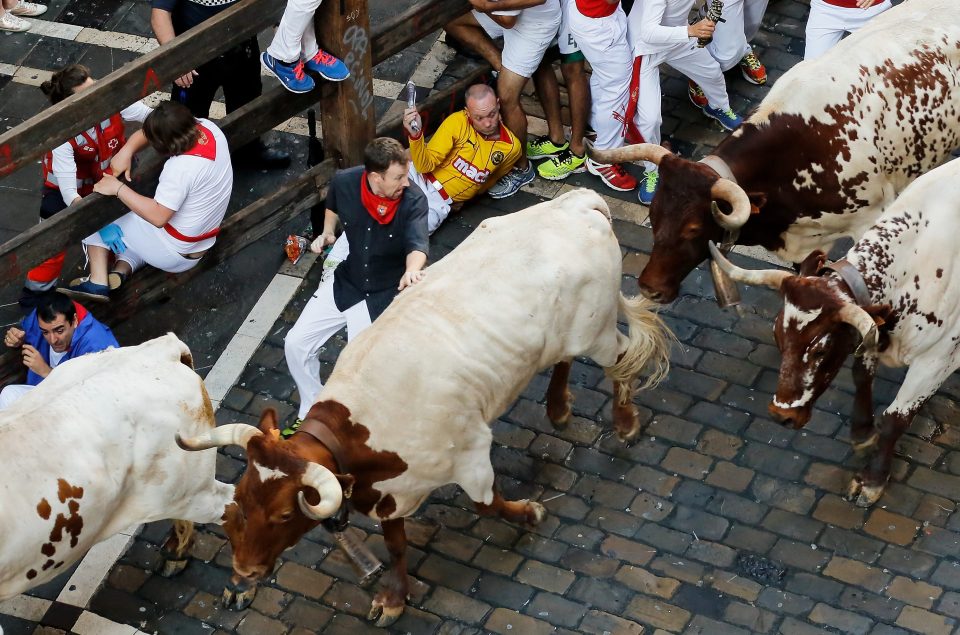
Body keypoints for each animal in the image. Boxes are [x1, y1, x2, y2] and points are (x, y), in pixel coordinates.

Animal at [176, 189, 672, 628]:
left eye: (283, 515)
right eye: (241, 499)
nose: (243, 572)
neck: (361, 428)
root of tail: (576, 203)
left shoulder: (471, 454)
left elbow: (489, 505)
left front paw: (529, 513)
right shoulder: (390, 492)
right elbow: (396, 545)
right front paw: (394, 597)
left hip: (598, 331)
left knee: (623, 359)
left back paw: (625, 422)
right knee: (565, 359)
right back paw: (558, 407)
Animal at [708, 158, 960, 506]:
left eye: (820, 349)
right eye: (778, 337)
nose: (781, 416)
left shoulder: (937, 360)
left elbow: (895, 418)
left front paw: (873, 479)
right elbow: (861, 377)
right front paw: (863, 432)